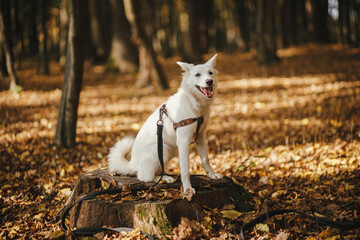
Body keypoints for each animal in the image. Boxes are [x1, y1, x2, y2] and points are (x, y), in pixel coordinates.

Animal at [108, 54, 222, 193]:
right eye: (197, 75)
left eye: (210, 73)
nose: (209, 81)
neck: (193, 101)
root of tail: (132, 164)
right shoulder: (183, 141)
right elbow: (185, 169)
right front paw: (188, 189)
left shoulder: (200, 136)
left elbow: (205, 159)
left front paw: (212, 174)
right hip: (164, 148)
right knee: (144, 176)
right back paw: (163, 178)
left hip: (170, 150)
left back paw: (165, 175)